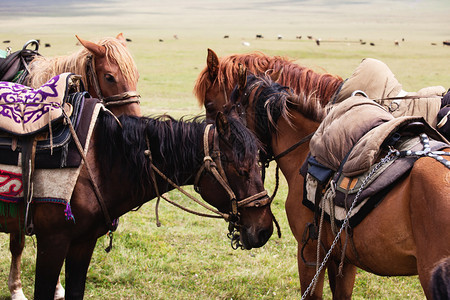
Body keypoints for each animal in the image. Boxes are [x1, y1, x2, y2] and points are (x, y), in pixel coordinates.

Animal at [1, 96, 272, 300]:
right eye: (241, 170)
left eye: (258, 166)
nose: (265, 230)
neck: (96, 163)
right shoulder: (53, 241)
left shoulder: (83, 242)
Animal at [5, 33, 141, 300]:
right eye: (109, 77)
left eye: (137, 75)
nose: (136, 122)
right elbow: (18, 244)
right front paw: (16, 289)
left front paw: (58, 287)